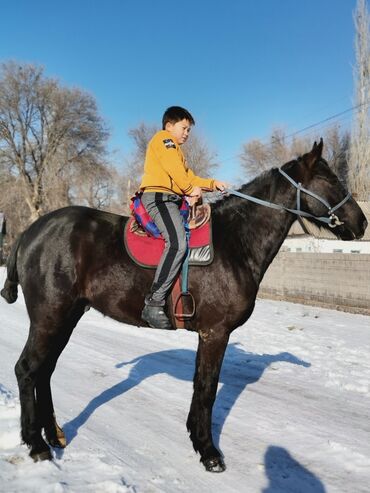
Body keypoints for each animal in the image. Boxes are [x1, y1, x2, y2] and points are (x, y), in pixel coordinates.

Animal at [1, 140, 368, 470]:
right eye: (331, 180)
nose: (362, 223)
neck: (235, 242)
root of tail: (31, 231)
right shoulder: (215, 333)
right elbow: (206, 389)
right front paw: (208, 451)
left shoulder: (210, 334)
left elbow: (200, 386)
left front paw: (197, 439)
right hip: (50, 317)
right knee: (26, 370)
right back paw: (36, 444)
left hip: (66, 317)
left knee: (44, 371)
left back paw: (53, 436)